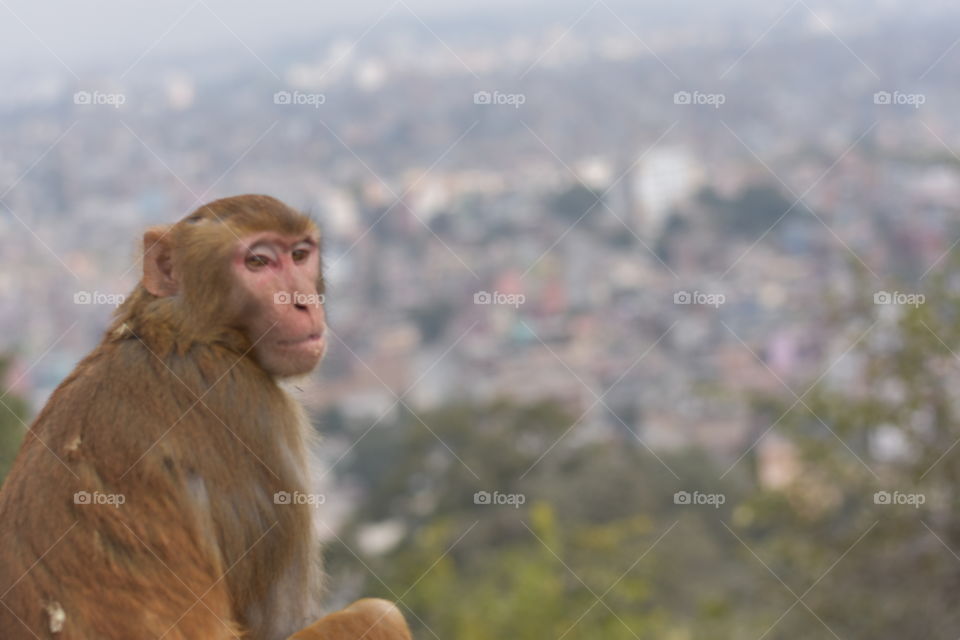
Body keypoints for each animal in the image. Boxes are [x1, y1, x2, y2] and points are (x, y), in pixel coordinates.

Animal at [0, 195, 408, 640]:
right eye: (258, 262)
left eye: (300, 255)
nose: (302, 302)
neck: (186, 334)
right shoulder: (256, 410)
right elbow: (280, 624)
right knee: (379, 613)